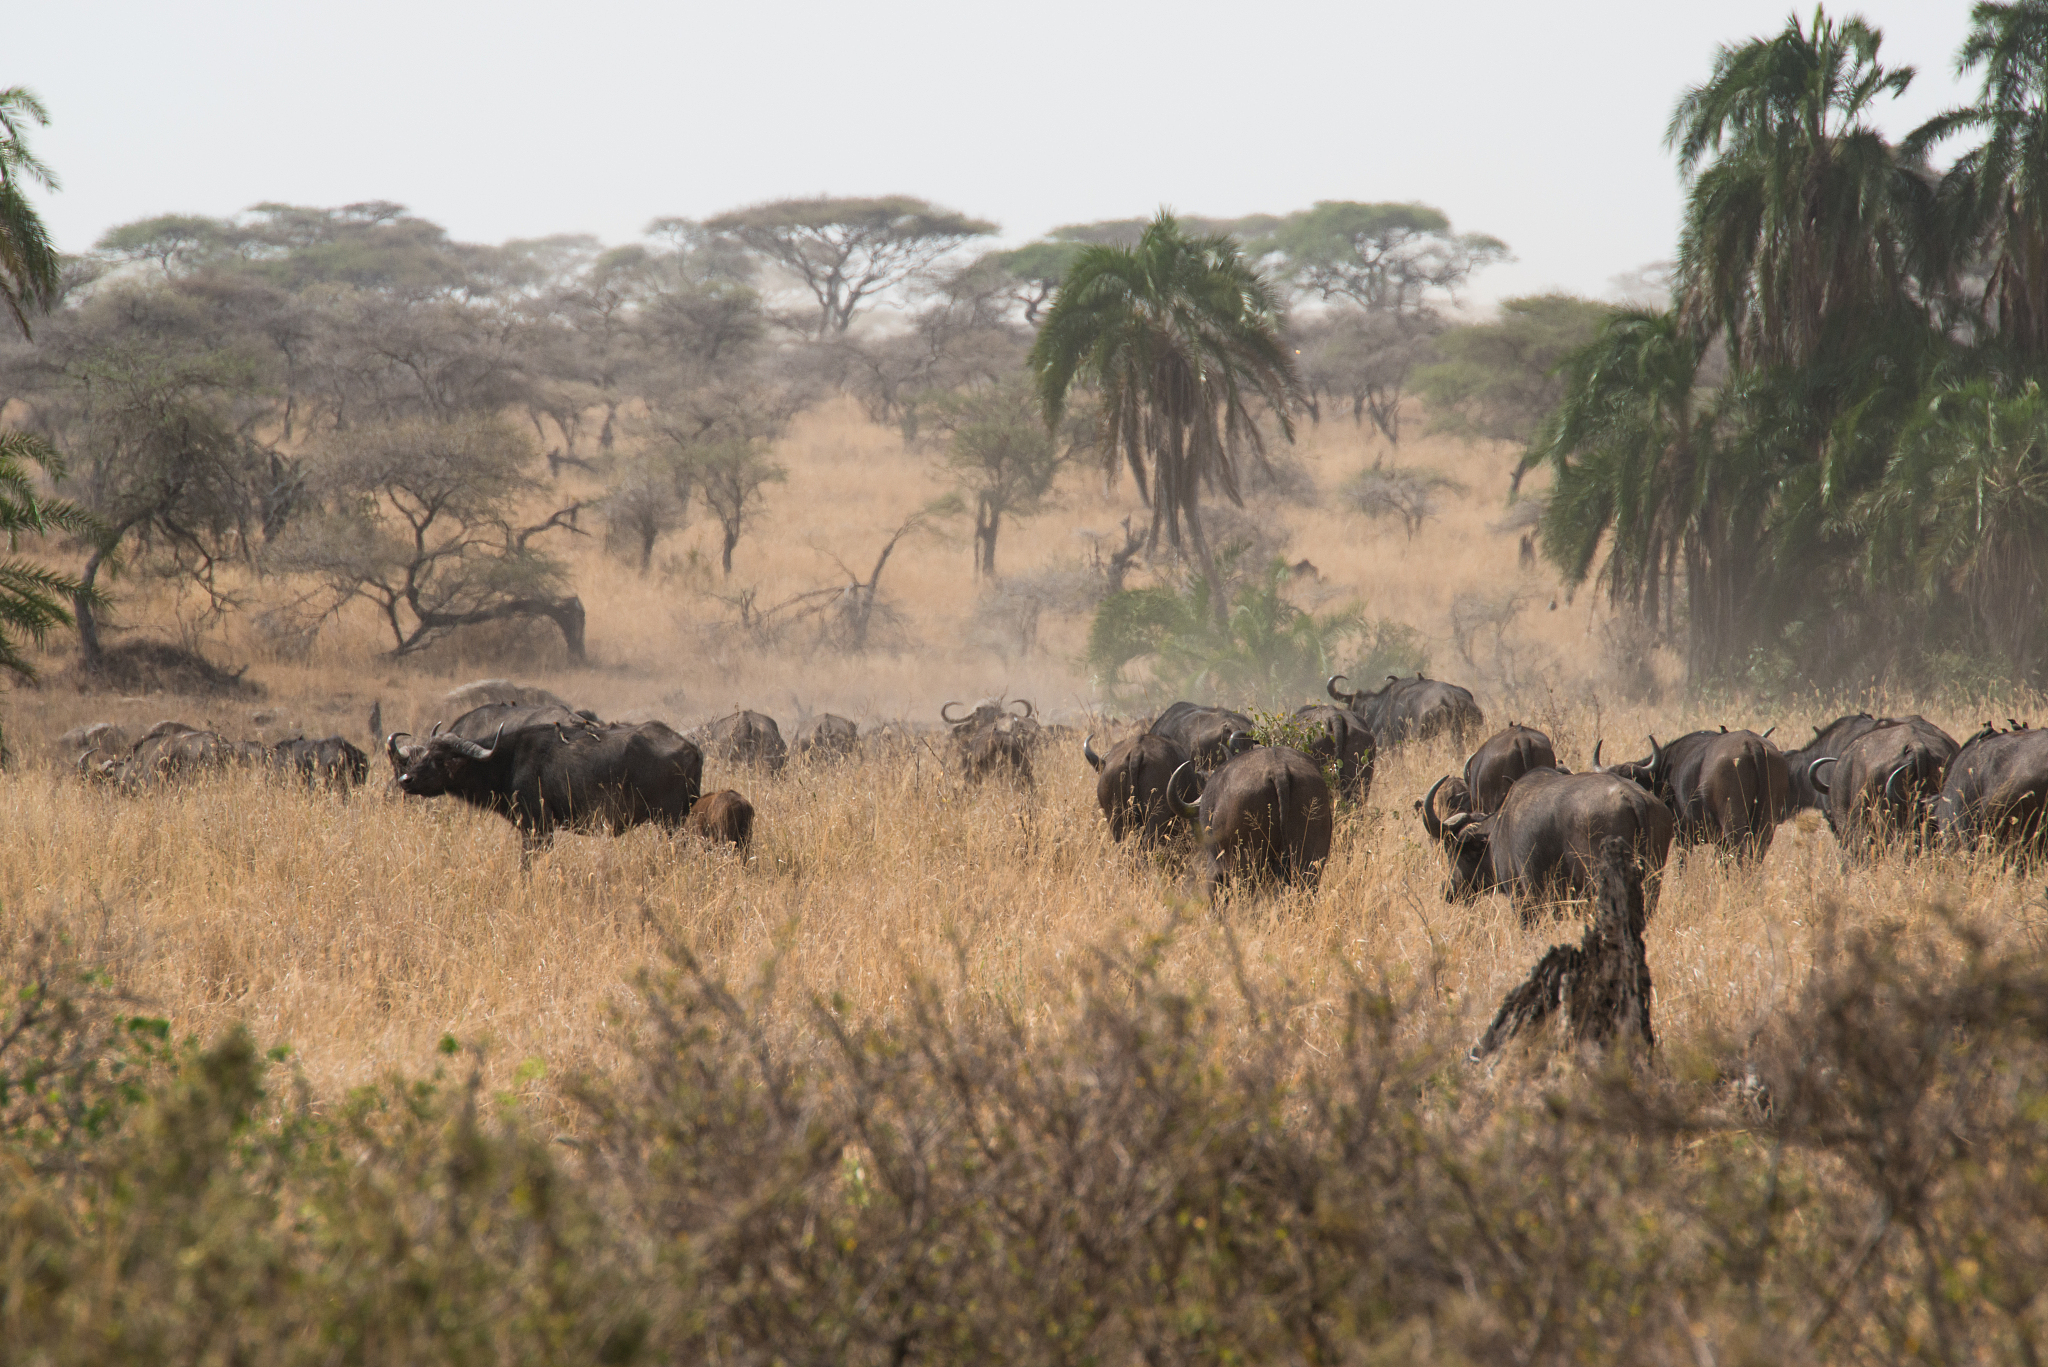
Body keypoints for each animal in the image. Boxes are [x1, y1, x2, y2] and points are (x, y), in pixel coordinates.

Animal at [385, 718, 702, 851]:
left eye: (440, 759)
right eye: (425, 752)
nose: (405, 779)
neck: (507, 760)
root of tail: (692, 747)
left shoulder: (538, 827)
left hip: (673, 822)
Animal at [1420, 768, 1674, 919]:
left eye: (1455, 852)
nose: (1447, 891)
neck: (1496, 831)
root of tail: (1632, 796)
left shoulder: (1522, 898)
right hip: (1653, 881)